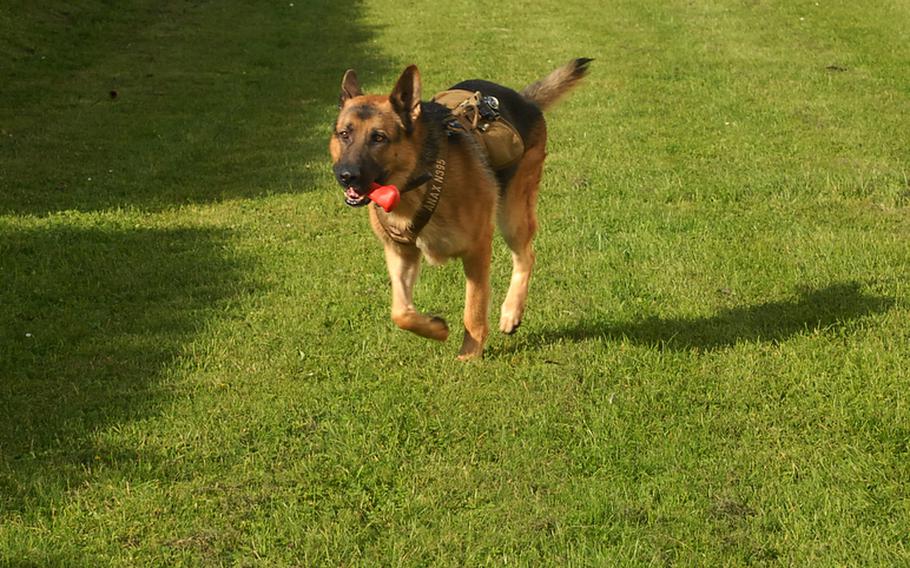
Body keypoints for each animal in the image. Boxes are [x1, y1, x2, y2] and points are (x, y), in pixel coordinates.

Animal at [330, 58, 592, 360]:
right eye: (344, 134)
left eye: (379, 138)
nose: (346, 175)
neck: (420, 181)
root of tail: (523, 100)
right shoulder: (400, 253)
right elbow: (401, 312)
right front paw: (436, 329)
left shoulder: (477, 250)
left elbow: (474, 309)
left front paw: (470, 355)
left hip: (512, 216)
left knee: (526, 256)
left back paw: (511, 312)